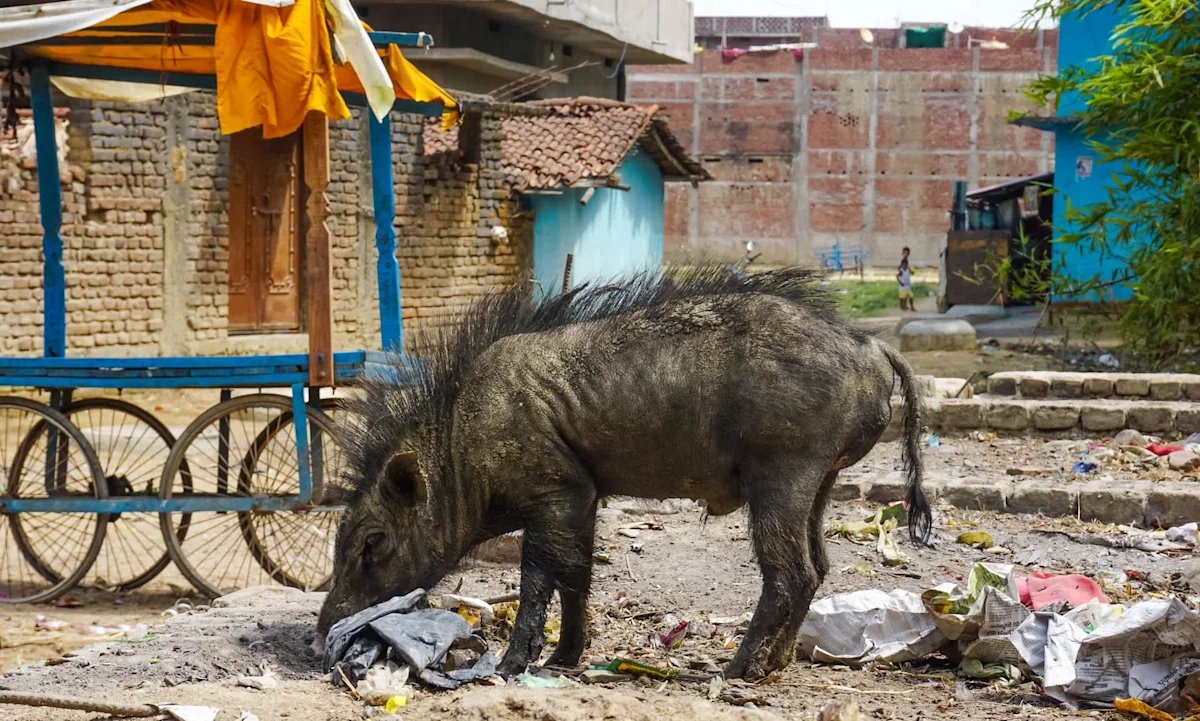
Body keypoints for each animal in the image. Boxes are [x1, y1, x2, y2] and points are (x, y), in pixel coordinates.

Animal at [318, 265, 931, 680]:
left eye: (372, 540)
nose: (322, 633)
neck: (459, 444)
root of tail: (872, 346)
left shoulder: (554, 492)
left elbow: (539, 578)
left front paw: (512, 666)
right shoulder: (585, 495)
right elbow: (577, 574)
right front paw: (564, 659)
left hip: (783, 472)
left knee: (791, 573)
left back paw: (737, 670)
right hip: (820, 480)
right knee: (819, 566)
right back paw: (774, 666)